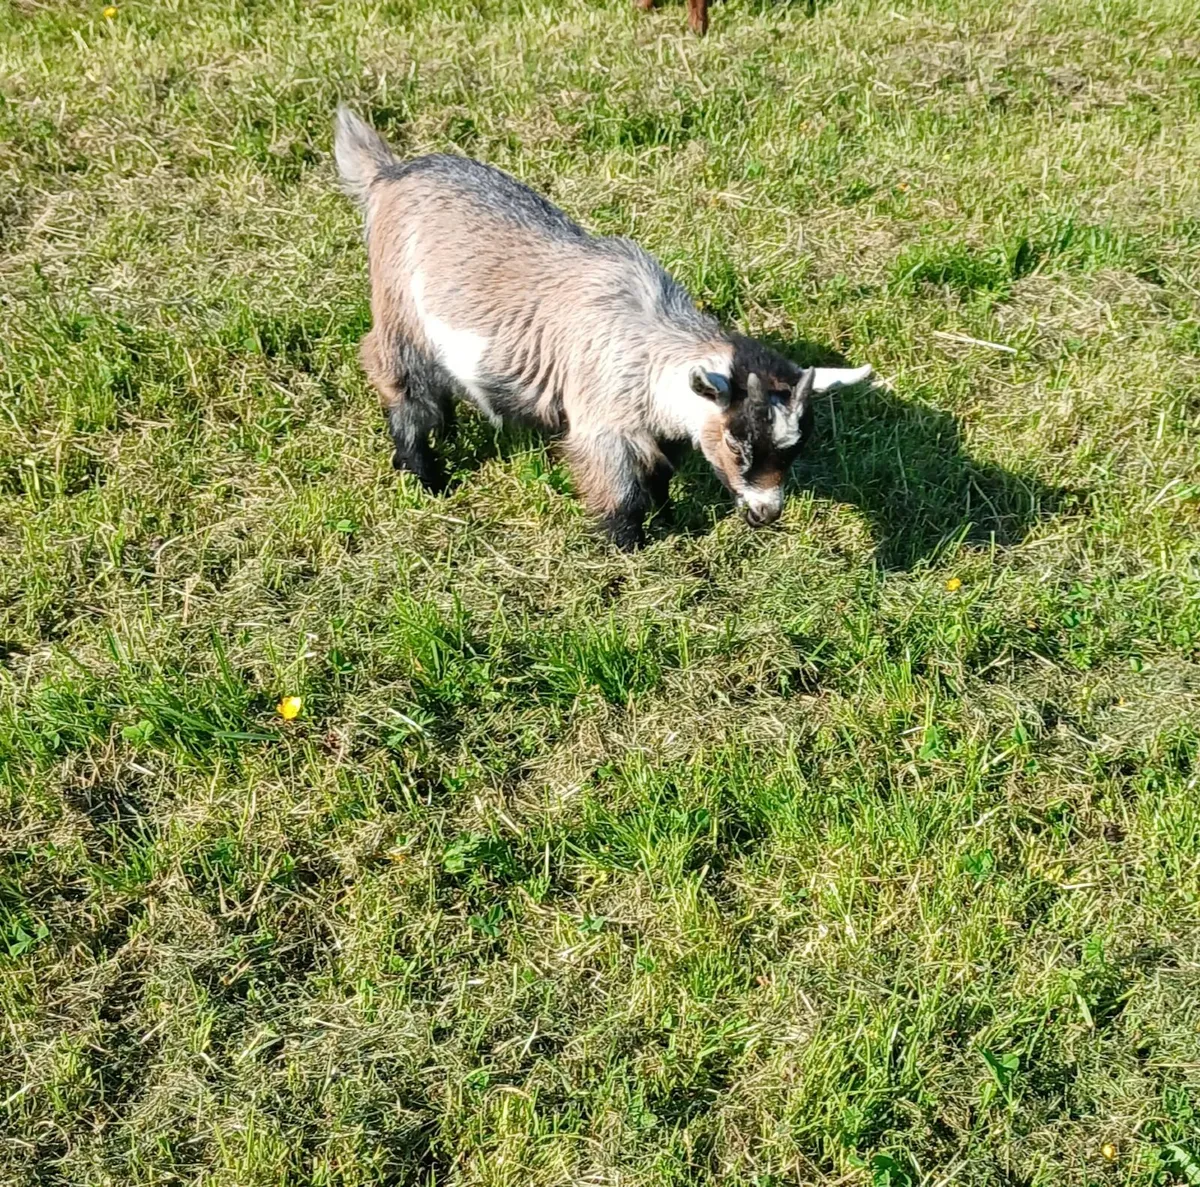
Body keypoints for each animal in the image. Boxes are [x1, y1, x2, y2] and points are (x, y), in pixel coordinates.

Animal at [334, 107, 871, 550]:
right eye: (738, 444)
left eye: (796, 448)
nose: (766, 512)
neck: (654, 342)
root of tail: (389, 174)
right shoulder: (604, 421)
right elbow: (620, 490)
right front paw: (628, 544)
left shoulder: (664, 426)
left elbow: (659, 474)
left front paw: (670, 517)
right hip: (400, 316)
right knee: (403, 390)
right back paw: (424, 475)